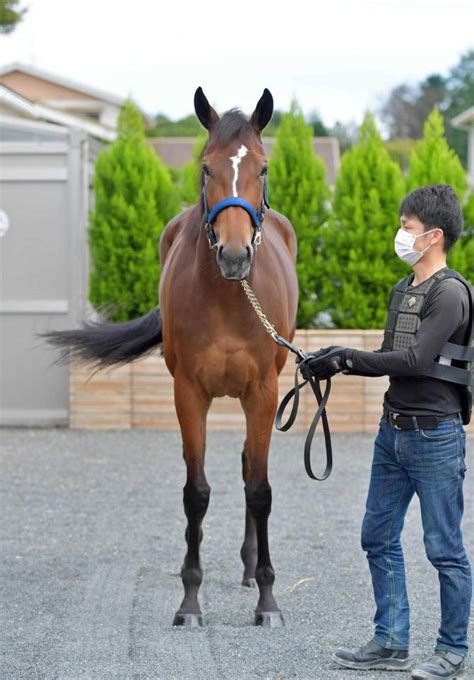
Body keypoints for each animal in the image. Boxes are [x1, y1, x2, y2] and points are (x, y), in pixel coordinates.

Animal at [44, 87, 298, 628]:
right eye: (206, 168)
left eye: (263, 168)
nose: (234, 256)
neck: (228, 298)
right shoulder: (189, 394)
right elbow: (195, 493)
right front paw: (190, 600)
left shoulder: (264, 393)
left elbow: (260, 489)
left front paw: (268, 600)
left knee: (249, 469)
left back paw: (251, 572)